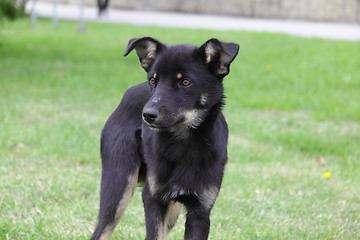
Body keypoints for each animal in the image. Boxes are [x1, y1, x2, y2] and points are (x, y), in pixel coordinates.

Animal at [90, 36, 239, 239]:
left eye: (185, 82)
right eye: (153, 80)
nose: (147, 115)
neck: (183, 143)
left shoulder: (201, 211)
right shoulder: (153, 199)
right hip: (117, 186)